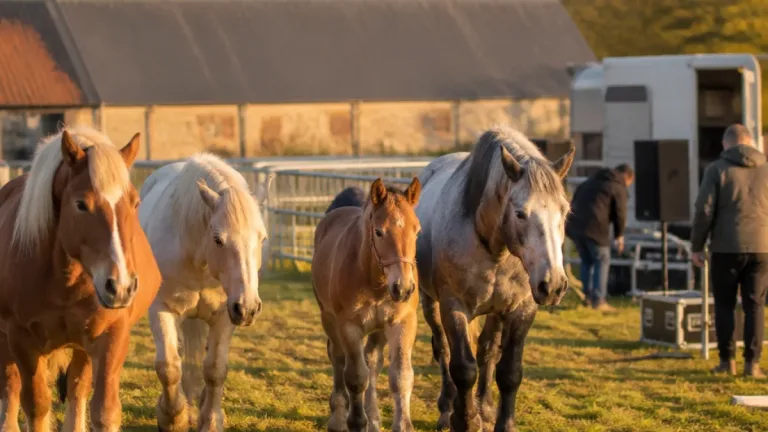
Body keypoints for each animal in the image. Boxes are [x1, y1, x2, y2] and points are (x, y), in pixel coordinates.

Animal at [0, 126, 162, 432]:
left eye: (135, 202)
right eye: (81, 204)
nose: (121, 287)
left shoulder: (111, 336)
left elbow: (104, 411)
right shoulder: (22, 340)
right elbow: (36, 407)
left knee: (77, 390)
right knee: (11, 390)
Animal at [138, 153, 271, 431]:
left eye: (262, 239)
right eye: (218, 239)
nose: (249, 308)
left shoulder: (225, 314)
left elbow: (215, 369)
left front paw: (210, 419)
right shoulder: (161, 309)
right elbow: (169, 366)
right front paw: (173, 417)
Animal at [312, 178, 422, 432]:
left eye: (417, 230)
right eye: (379, 232)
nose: (404, 288)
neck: (376, 284)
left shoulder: (402, 322)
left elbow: (400, 376)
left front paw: (401, 425)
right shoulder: (349, 327)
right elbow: (355, 377)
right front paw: (356, 421)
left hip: (379, 329)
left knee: (372, 360)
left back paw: (373, 418)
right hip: (329, 319)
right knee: (337, 358)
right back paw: (339, 417)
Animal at [415, 126, 574, 431]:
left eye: (565, 211)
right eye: (520, 213)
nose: (553, 285)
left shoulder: (521, 308)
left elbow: (508, 371)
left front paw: (499, 421)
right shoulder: (453, 306)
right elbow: (463, 369)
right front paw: (464, 420)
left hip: (496, 311)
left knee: (487, 351)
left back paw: (485, 408)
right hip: (430, 302)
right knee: (443, 350)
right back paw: (447, 408)